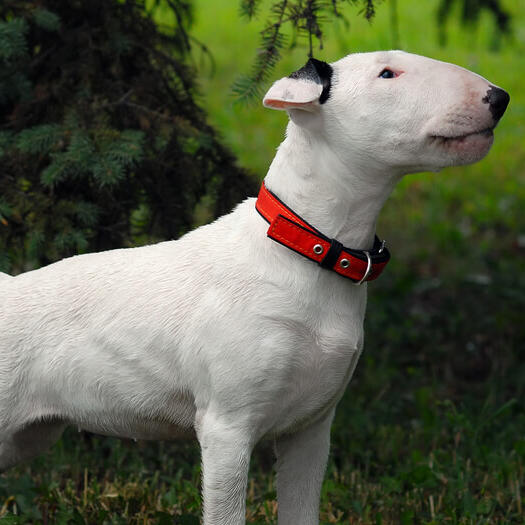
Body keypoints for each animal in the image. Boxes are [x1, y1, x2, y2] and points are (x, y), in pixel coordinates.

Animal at [0, 50, 508, 524]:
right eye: (387, 74)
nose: (499, 98)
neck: (305, 251)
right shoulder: (226, 429)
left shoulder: (311, 430)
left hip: (27, 437)